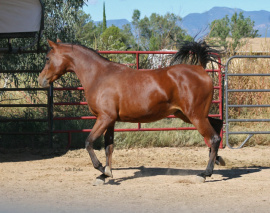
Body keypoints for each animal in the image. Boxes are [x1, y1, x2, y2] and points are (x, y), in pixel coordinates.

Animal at [38, 39, 224, 183]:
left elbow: (89, 142)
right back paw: (218, 160)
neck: (99, 76)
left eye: (47, 58)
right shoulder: (110, 120)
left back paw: (205, 174)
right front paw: (105, 175)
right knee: (218, 126)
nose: (41, 80)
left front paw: (102, 170)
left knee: (214, 138)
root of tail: (200, 69)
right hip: (189, 115)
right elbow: (109, 147)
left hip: (195, 116)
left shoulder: (104, 118)